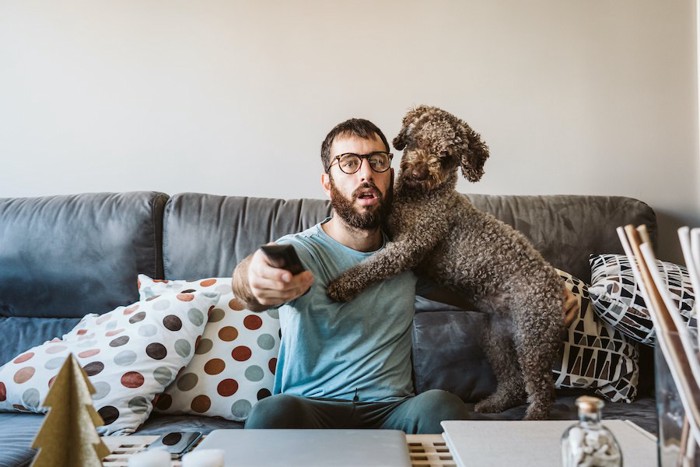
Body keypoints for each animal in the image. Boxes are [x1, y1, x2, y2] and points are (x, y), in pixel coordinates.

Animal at [326, 106, 564, 420]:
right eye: (417, 140)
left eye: (446, 155)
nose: (418, 172)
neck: (421, 197)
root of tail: (555, 281)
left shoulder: (410, 246)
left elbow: (373, 265)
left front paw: (343, 284)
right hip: (496, 337)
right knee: (512, 381)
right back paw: (494, 403)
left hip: (532, 337)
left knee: (542, 387)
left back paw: (535, 416)